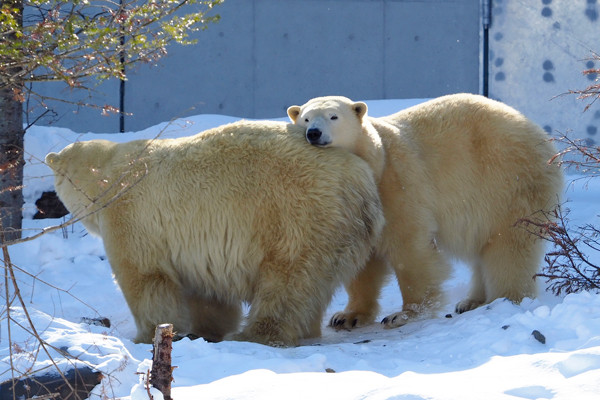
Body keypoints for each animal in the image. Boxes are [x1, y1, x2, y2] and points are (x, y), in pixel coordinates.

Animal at [45, 118, 384, 344]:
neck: (106, 174)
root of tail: (360, 181)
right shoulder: (194, 244)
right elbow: (205, 292)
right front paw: (206, 329)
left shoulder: (130, 214)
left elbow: (145, 276)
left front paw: (147, 335)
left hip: (296, 214)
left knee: (288, 281)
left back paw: (255, 333)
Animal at [288, 94, 564, 332]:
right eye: (306, 118)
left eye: (333, 116)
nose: (314, 133)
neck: (375, 160)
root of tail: (543, 137)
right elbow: (365, 264)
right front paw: (347, 316)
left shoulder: (395, 184)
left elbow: (409, 248)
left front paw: (404, 314)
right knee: (484, 248)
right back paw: (471, 301)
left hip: (507, 182)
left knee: (507, 246)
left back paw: (505, 299)